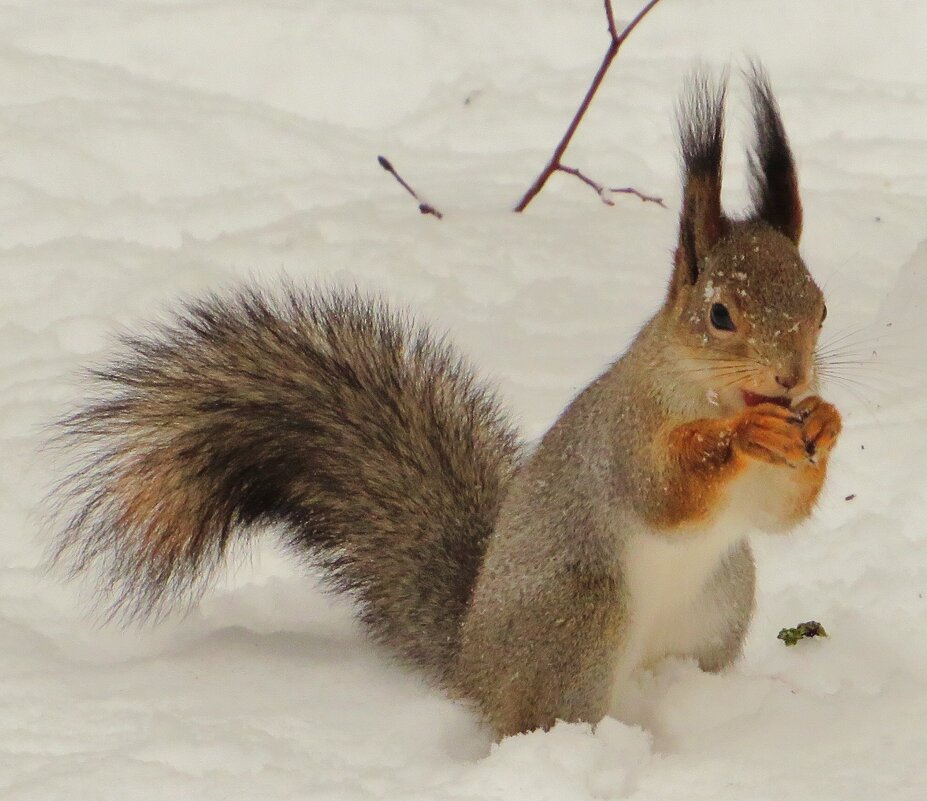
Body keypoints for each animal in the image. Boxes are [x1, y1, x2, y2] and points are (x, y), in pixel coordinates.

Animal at [49, 67, 840, 736]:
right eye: (719, 315)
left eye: (821, 305)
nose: (792, 378)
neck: (707, 389)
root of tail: (470, 662)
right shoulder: (622, 435)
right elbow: (665, 490)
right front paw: (743, 432)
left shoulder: (759, 497)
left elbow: (779, 513)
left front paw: (825, 424)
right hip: (580, 621)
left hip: (720, 605)